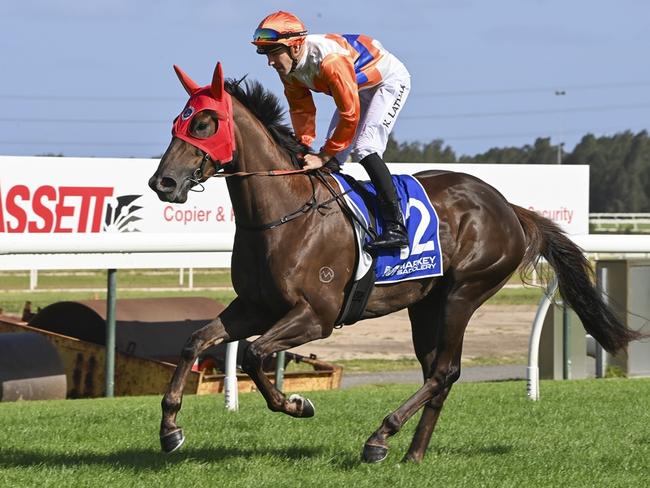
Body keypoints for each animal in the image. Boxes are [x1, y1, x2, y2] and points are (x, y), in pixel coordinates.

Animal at [149, 63, 640, 464]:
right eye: (176, 121)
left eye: (205, 122)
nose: (162, 182)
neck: (284, 215)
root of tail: (507, 207)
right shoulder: (254, 306)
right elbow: (196, 341)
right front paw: (170, 427)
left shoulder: (316, 316)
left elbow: (253, 353)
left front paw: (297, 404)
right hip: (426, 304)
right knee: (439, 374)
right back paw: (412, 454)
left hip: (464, 293)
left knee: (443, 372)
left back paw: (380, 437)